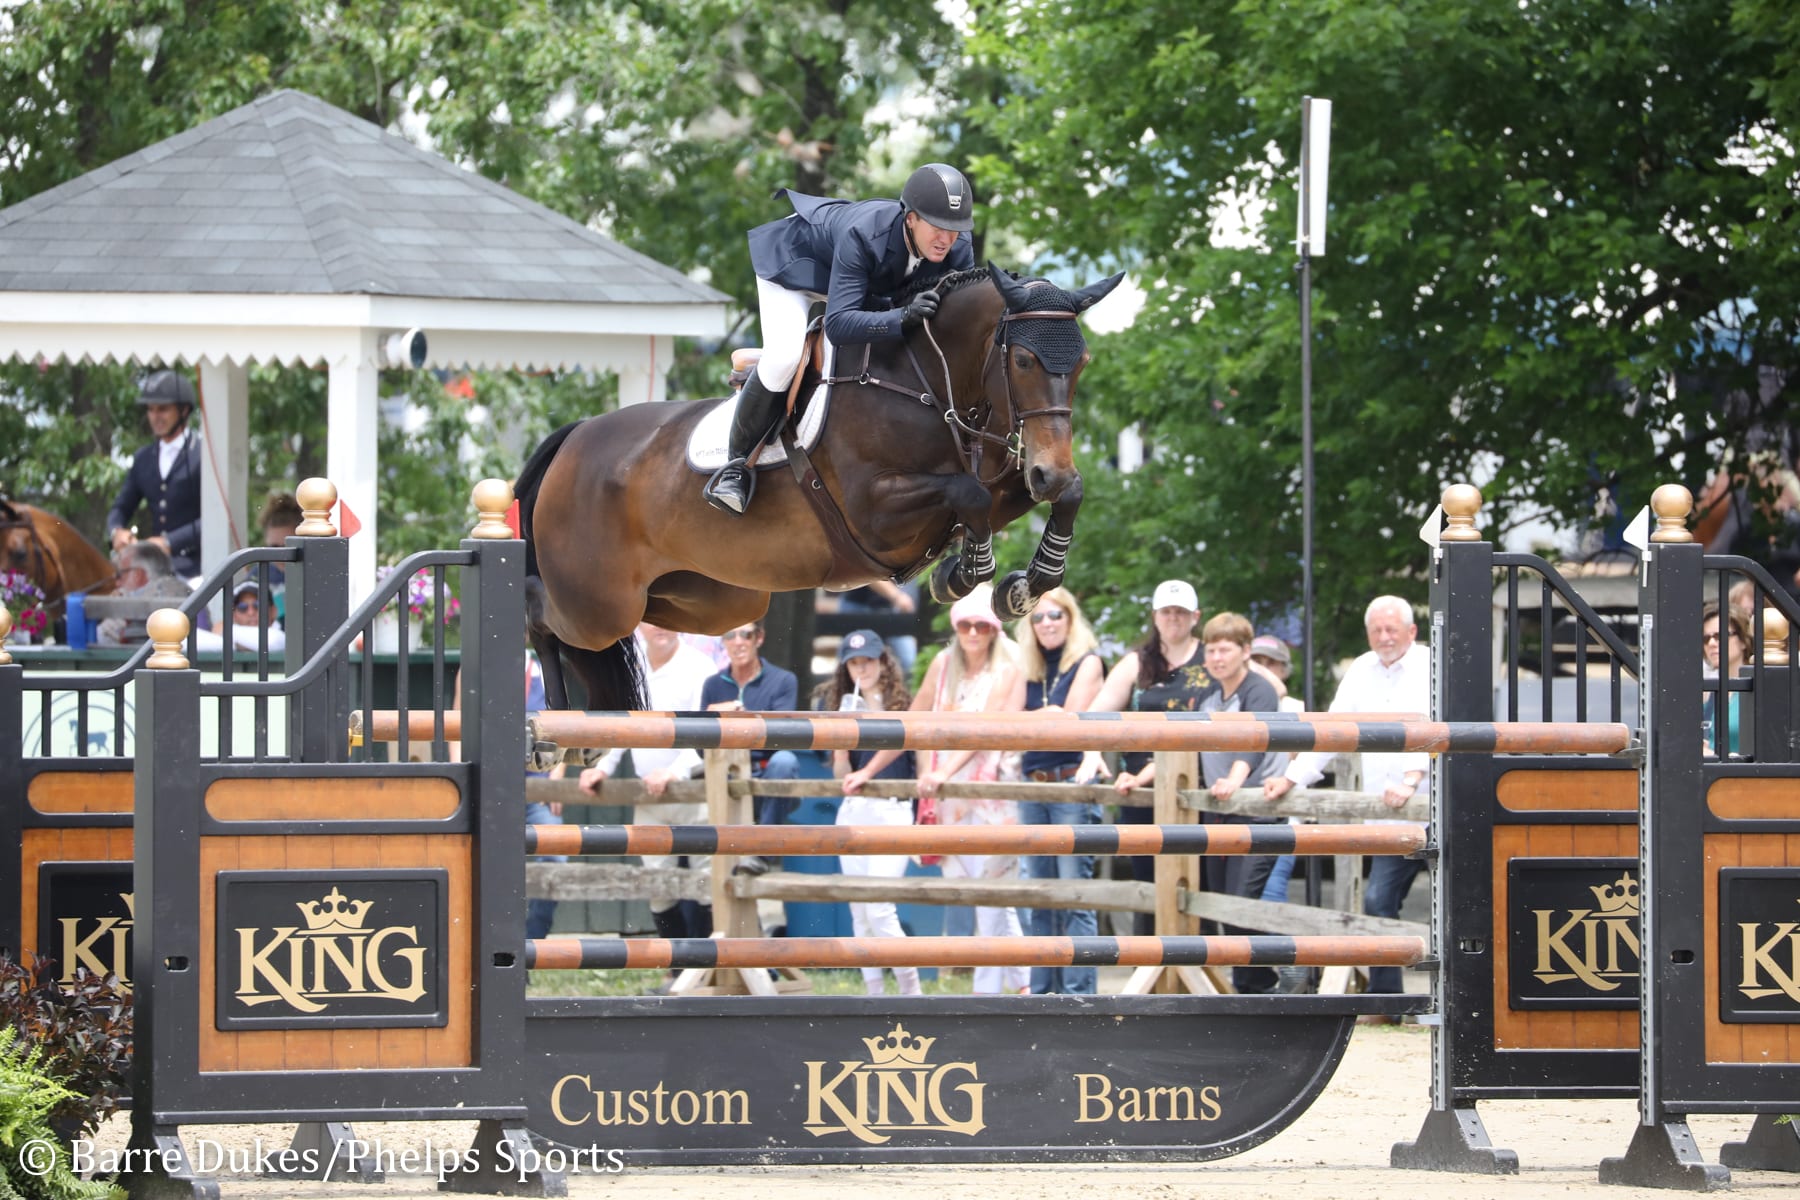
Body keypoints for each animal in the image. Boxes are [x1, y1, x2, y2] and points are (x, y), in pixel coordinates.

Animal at [514, 264, 1116, 712]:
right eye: (1024, 360)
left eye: (1082, 362)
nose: (1049, 469)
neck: (928, 381)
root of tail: (573, 438)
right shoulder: (875, 514)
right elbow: (969, 497)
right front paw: (965, 574)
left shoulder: (1001, 481)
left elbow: (1058, 496)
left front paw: (1023, 584)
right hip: (597, 603)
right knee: (541, 610)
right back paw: (552, 727)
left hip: (712, 599)